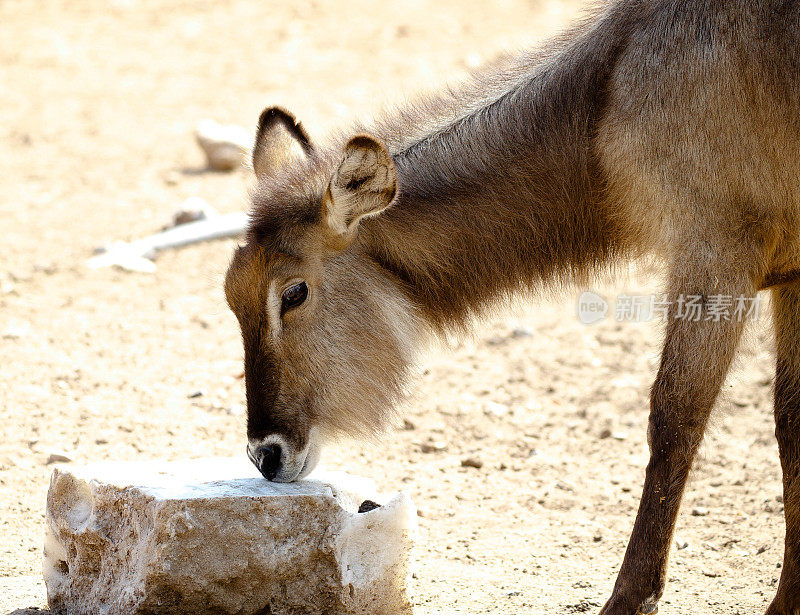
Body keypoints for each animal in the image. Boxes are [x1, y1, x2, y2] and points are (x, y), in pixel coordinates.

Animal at [223, 2, 800, 612]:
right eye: (232, 294)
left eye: (293, 292)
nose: (265, 455)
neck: (607, 94)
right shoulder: (790, 275)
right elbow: (790, 423)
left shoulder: (715, 254)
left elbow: (674, 421)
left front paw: (628, 599)